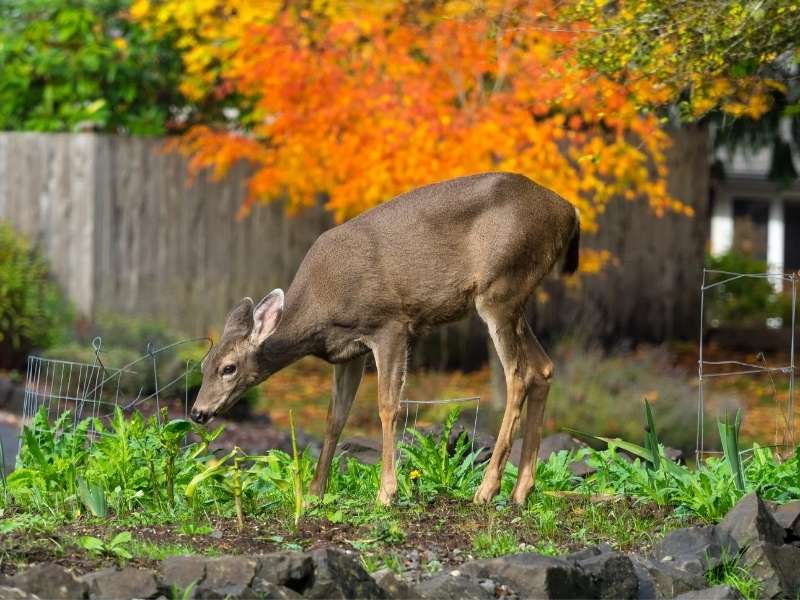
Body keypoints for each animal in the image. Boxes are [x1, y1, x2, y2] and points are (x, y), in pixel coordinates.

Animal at [191, 172, 580, 506]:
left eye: (229, 367)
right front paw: (315, 492)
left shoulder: (390, 324)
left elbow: (388, 406)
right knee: (543, 368)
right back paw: (521, 491)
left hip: (500, 288)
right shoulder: (348, 351)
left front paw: (387, 492)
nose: (197, 412)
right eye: (203, 364)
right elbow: (335, 417)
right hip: (515, 299)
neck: (320, 309)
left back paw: (487, 489)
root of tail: (568, 211)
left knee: (518, 375)